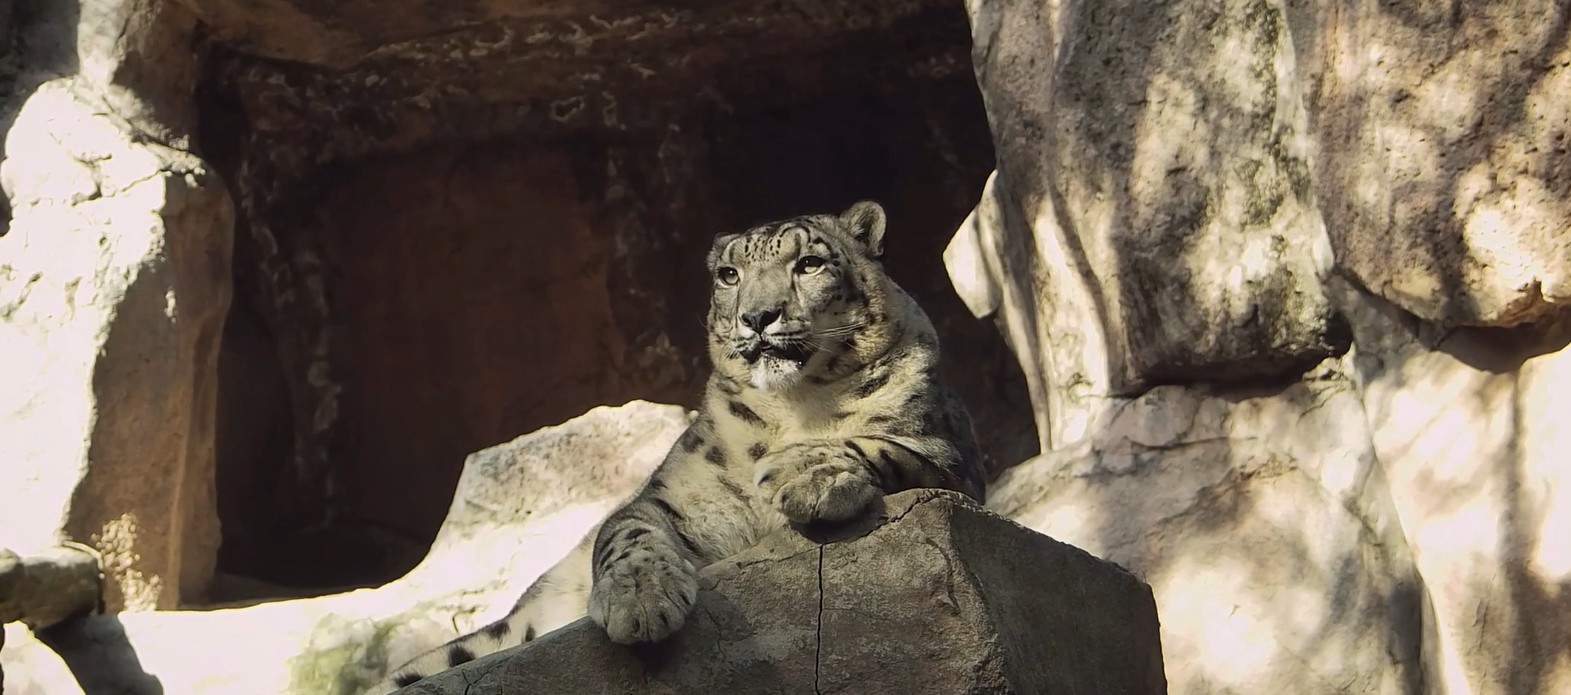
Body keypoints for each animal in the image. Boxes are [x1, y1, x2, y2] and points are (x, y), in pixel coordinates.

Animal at [370, 200, 985, 692]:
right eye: (730, 274)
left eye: (808, 264)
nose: (757, 316)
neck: (795, 406)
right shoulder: (670, 498)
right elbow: (629, 533)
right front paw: (639, 601)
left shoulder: (954, 459)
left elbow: (887, 447)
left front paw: (801, 475)